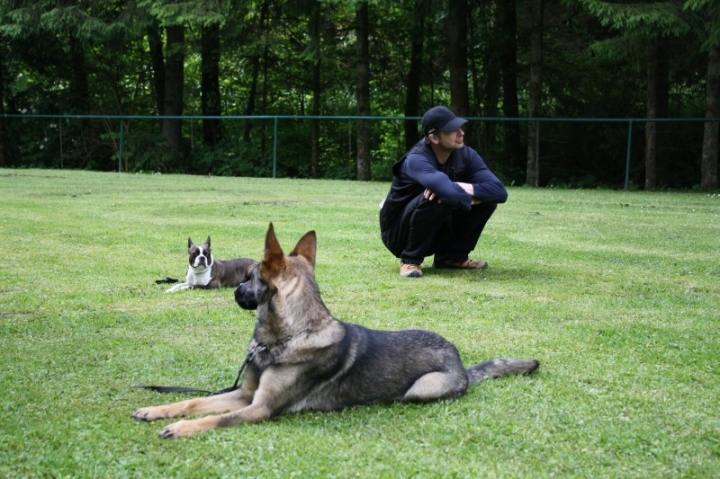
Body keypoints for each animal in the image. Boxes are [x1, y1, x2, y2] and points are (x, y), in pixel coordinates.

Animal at [134, 225, 540, 438]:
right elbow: (194, 402)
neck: (288, 338)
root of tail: (459, 359)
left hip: (422, 389)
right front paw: (159, 409)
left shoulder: (258, 408)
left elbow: (216, 417)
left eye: (250, 277)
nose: (233, 291)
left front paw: (182, 427)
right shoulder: (244, 394)